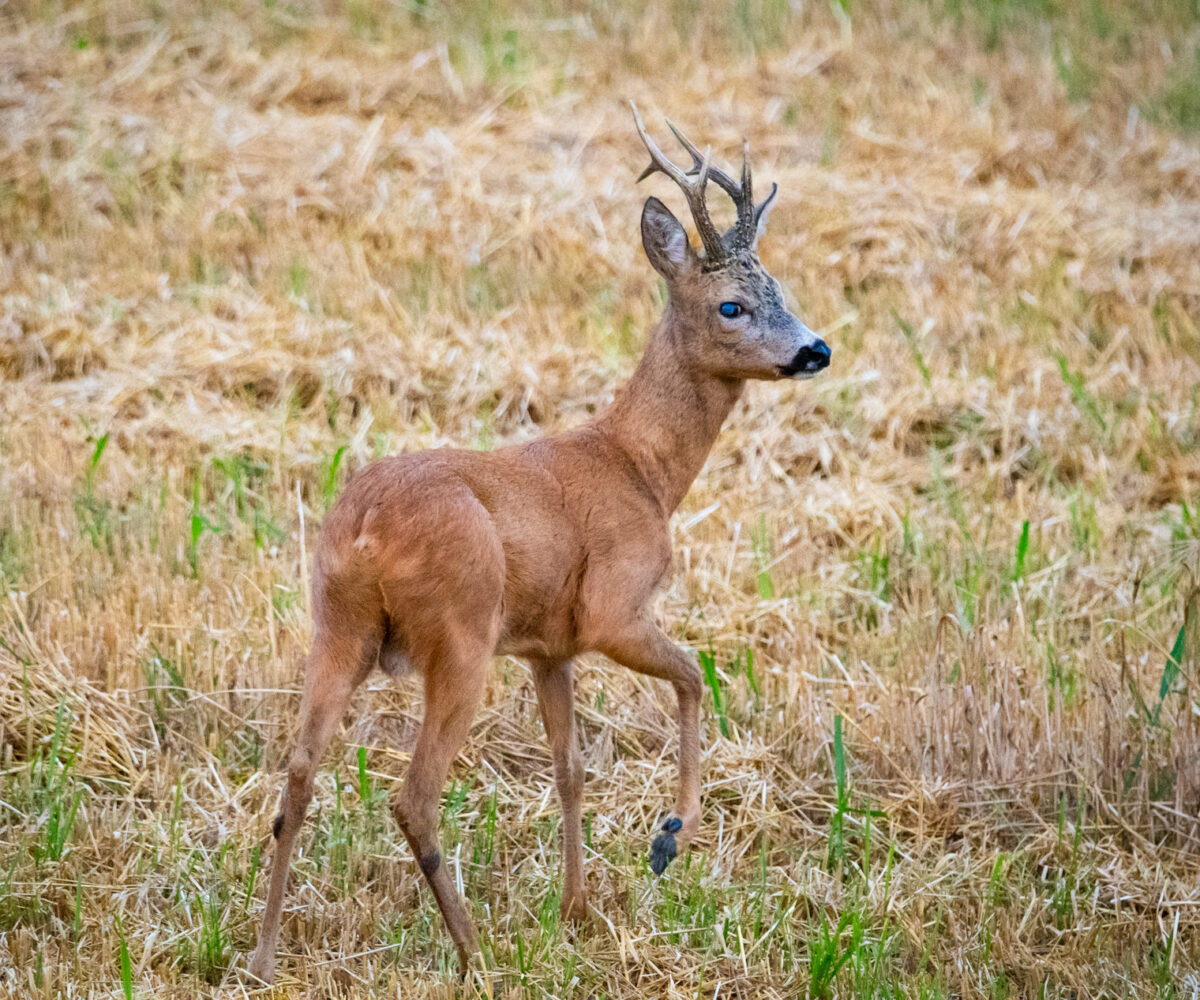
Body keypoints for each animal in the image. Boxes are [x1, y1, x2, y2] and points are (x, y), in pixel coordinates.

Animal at [248, 105, 835, 979]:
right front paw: (669, 839)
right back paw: (474, 954)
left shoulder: (548, 646)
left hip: (336, 624)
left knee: (296, 775)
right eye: (732, 305)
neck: (641, 467)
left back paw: (262, 956)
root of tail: (367, 532)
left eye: (782, 291)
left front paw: (576, 908)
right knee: (414, 797)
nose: (815, 349)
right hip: (460, 632)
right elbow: (695, 676)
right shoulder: (611, 607)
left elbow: (571, 768)